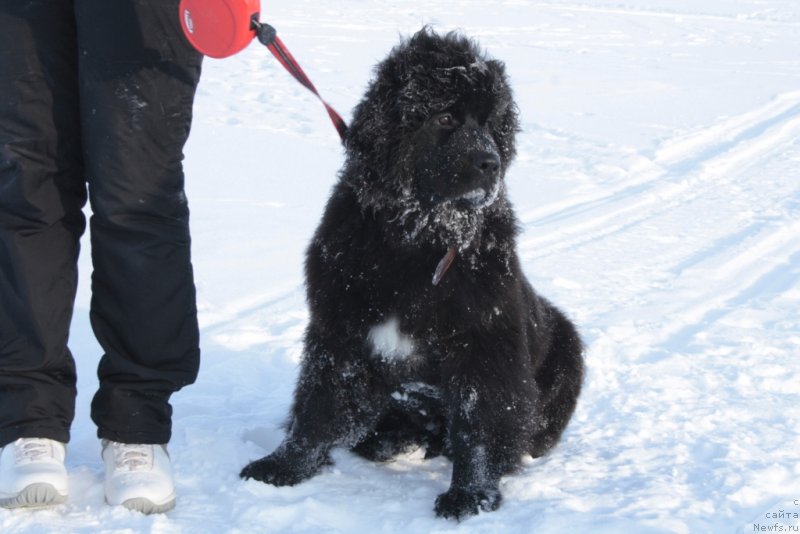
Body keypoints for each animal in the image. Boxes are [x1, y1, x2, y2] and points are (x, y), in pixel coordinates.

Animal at [241, 27, 584, 520]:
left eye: (490, 123)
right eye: (445, 117)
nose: (491, 163)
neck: (418, 240)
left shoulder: (483, 344)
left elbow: (481, 422)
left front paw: (470, 494)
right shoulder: (339, 331)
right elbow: (319, 407)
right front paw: (284, 465)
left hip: (568, 346)